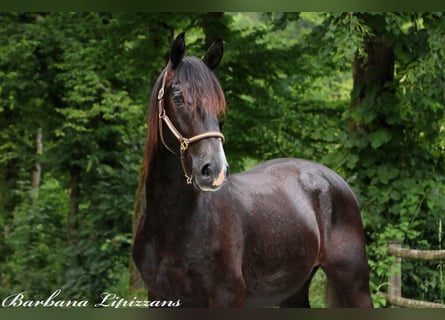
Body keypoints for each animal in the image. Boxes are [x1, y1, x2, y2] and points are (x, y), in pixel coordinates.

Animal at [132, 32, 372, 308]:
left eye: (220, 104)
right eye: (178, 97)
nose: (214, 170)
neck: (172, 227)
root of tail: (335, 180)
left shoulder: (226, 299)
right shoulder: (158, 296)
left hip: (355, 284)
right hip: (294, 291)